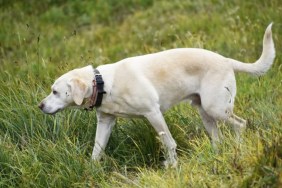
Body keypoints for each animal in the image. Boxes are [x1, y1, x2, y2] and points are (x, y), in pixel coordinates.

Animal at [39, 23, 276, 167]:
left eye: (55, 91)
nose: (40, 106)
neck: (103, 83)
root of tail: (226, 60)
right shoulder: (105, 122)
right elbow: (97, 150)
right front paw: (92, 170)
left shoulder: (153, 113)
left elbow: (168, 143)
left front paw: (172, 166)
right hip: (205, 113)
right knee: (218, 137)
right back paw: (217, 155)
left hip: (216, 108)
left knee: (240, 125)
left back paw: (238, 148)